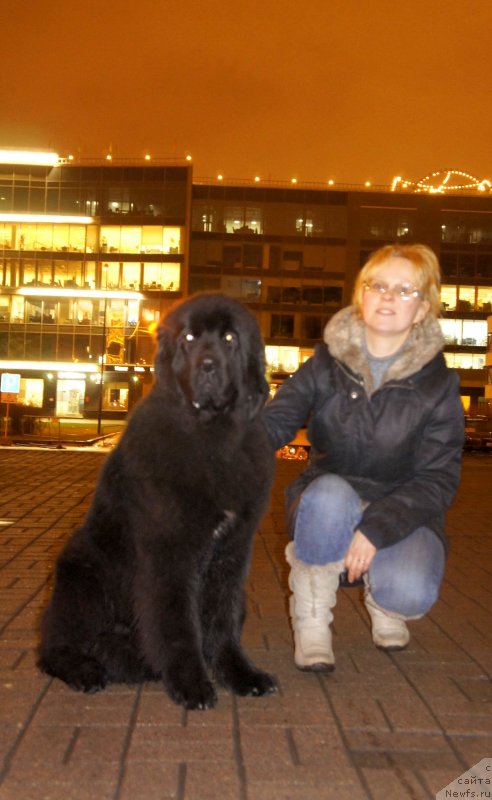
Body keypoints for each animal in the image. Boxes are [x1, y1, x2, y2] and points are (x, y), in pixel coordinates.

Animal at [37, 290, 276, 708]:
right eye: (190, 339)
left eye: (230, 338)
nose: (208, 366)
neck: (211, 436)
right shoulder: (169, 551)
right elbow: (177, 621)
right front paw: (192, 684)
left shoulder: (232, 551)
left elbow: (223, 618)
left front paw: (241, 675)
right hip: (81, 568)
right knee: (56, 644)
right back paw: (85, 670)